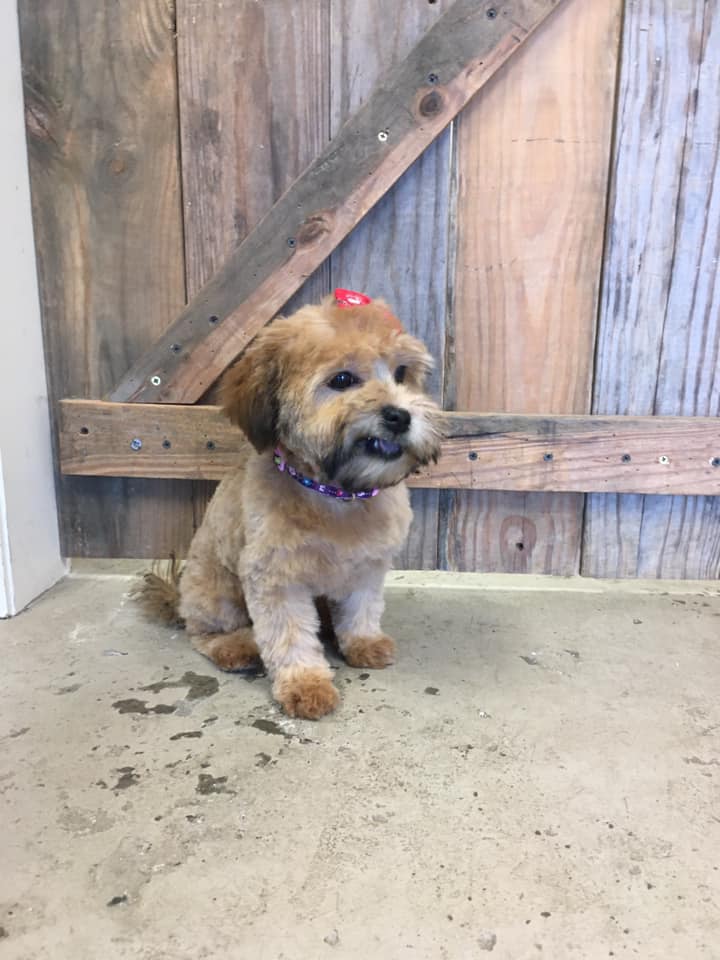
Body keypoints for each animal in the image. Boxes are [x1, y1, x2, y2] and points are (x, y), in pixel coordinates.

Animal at [135, 290, 443, 719]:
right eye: (342, 380)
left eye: (401, 373)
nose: (399, 415)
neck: (335, 493)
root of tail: (177, 595)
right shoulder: (276, 578)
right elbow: (290, 636)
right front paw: (306, 685)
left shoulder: (366, 567)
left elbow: (362, 609)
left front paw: (363, 642)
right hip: (215, 589)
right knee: (203, 632)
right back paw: (236, 646)